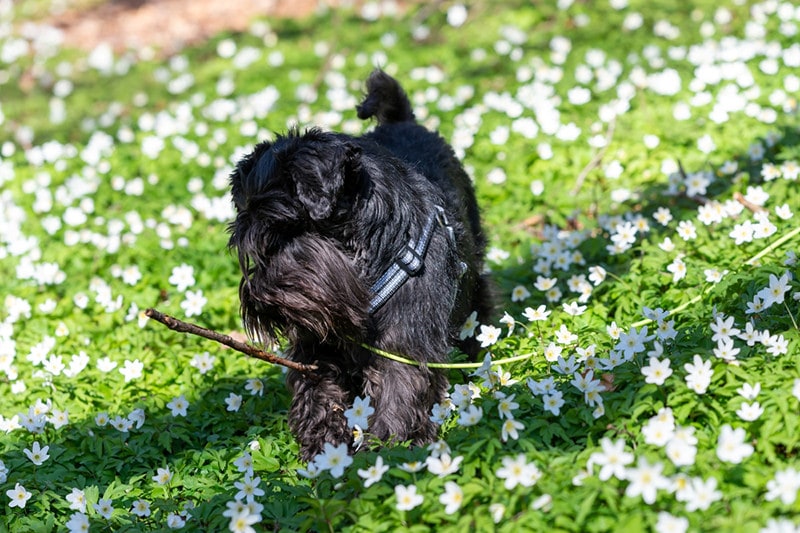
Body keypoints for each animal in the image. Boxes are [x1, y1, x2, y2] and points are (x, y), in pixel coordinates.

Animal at [228, 69, 490, 462]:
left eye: (286, 230)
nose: (261, 297)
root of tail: (401, 120)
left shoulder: (404, 346)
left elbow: (400, 394)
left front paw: (387, 449)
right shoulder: (318, 347)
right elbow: (318, 394)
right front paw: (323, 449)